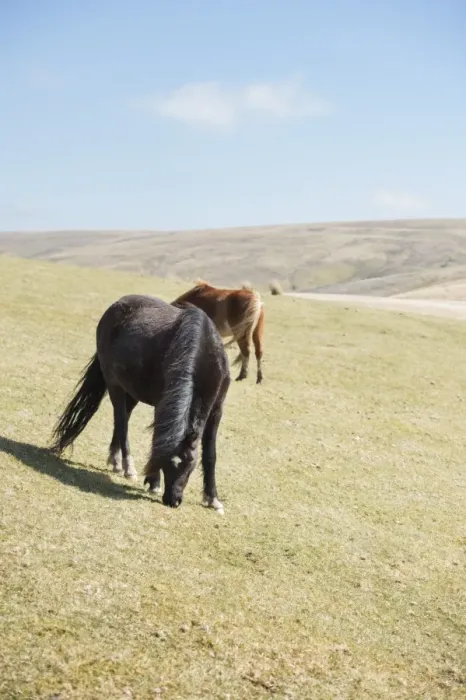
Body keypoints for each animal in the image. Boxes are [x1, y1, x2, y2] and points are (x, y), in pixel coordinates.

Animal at [50, 294, 230, 512]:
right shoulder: (162, 405)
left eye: (188, 464)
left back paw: (115, 461)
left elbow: (210, 454)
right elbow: (157, 442)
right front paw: (154, 482)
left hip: (131, 391)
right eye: (166, 464)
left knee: (124, 418)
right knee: (121, 421)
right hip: (115, 384)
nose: (172, 500)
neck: (203, 351)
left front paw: (213, 499)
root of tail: (115, 306)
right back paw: (128, 468)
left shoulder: (217, 410)